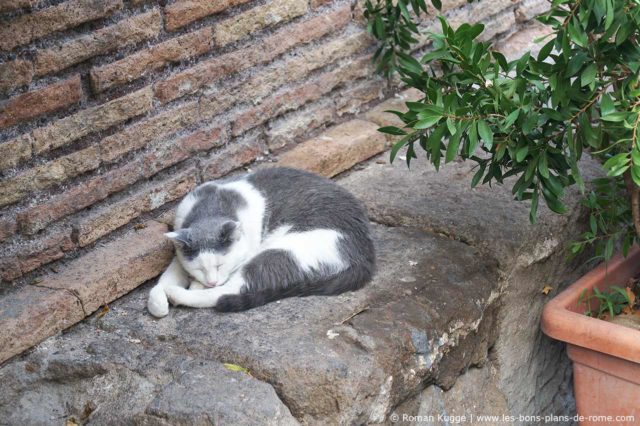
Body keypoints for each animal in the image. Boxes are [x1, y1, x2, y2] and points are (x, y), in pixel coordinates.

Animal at [146, 166, 376, 316]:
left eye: (221, 264)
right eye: (200, 268)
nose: (210, 281)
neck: (211, 206)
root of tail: (366, 256)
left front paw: (191, 287)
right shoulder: (181, 251)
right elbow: (166, 277)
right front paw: (158, 302)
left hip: (280, 251)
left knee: (229, 290)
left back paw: (179, 294)